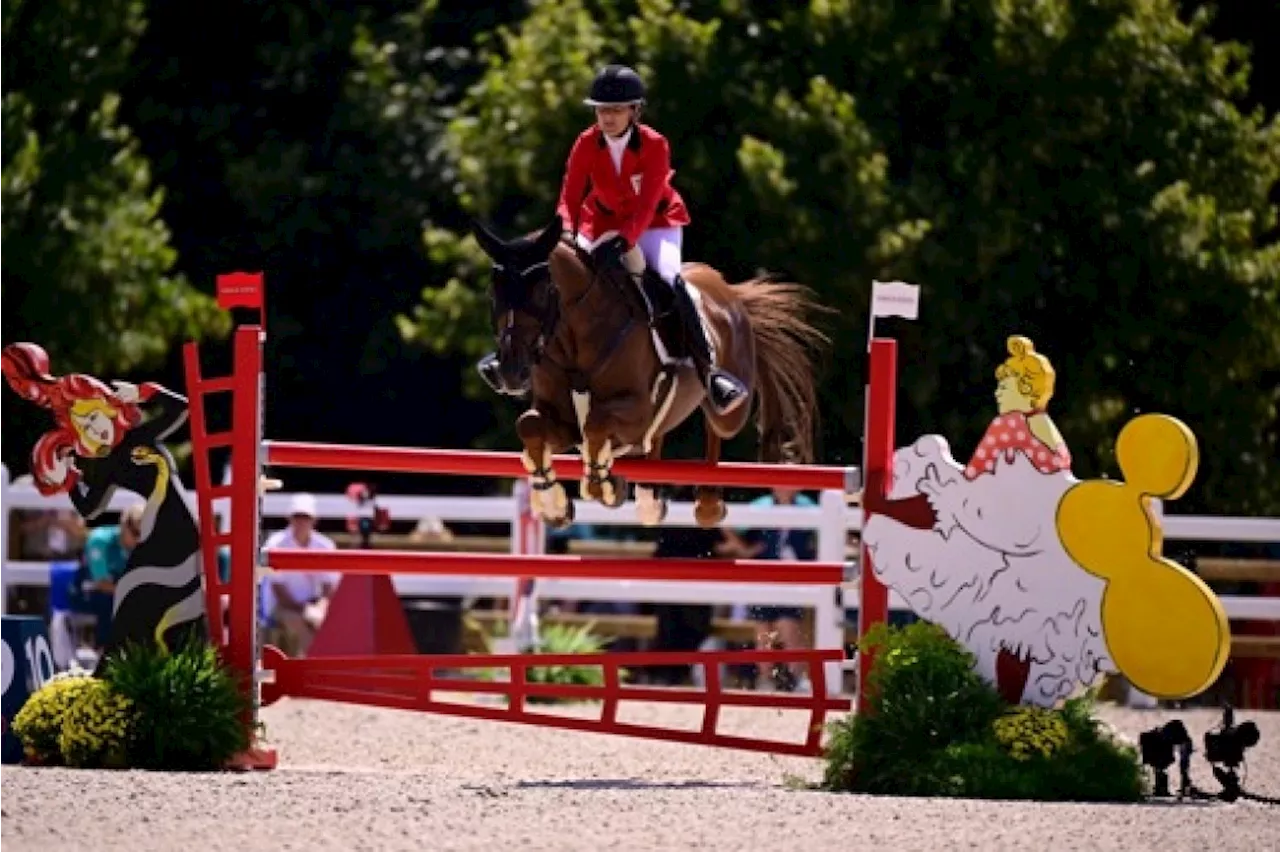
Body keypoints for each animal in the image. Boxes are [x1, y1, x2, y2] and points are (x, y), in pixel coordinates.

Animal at [471, 216, 829, 527]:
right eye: (493, 294)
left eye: (543, 292)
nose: (511, 371)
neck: (572, 340)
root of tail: (728, 289)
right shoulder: (560, 421)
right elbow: (530, 425)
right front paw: (554, 504)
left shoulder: (635, 411)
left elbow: (596, 425)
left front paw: (602, 485)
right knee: (655, 441)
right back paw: (648, 501)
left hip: (729, 410)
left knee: (714, 426)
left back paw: (707, 503)